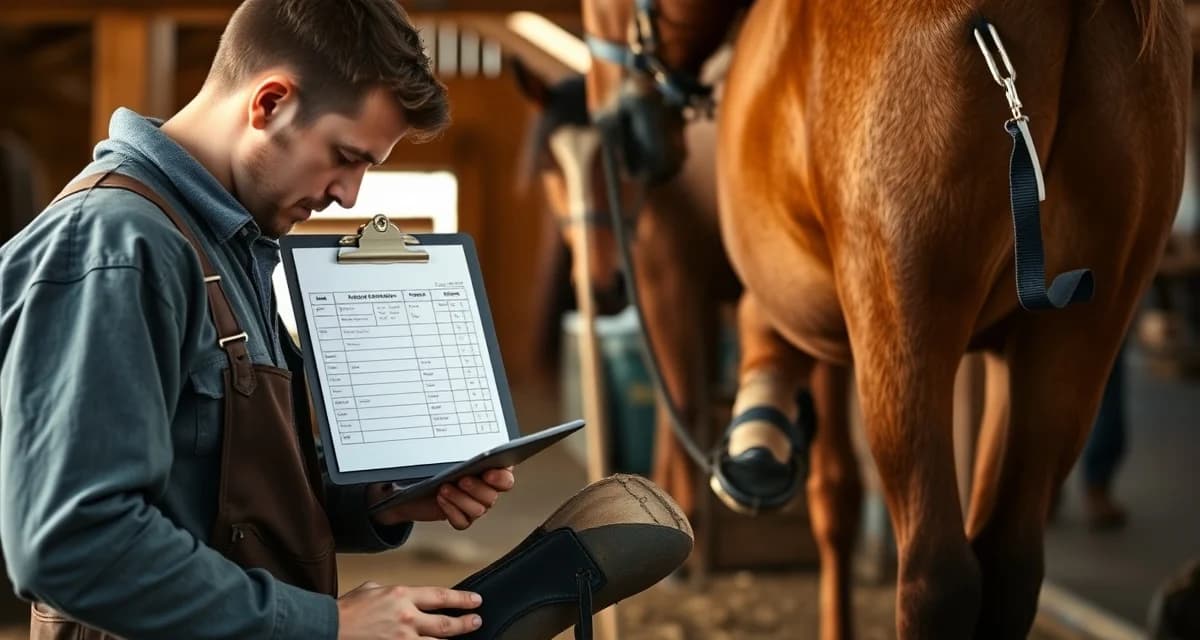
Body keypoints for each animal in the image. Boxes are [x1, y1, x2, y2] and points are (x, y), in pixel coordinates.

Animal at [582, 1, 1191, 638]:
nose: (620, 128)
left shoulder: (808, 300)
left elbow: (828, 485)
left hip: (901, 338)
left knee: (937, 577)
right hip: (1074, 345)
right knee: (1011, 565)